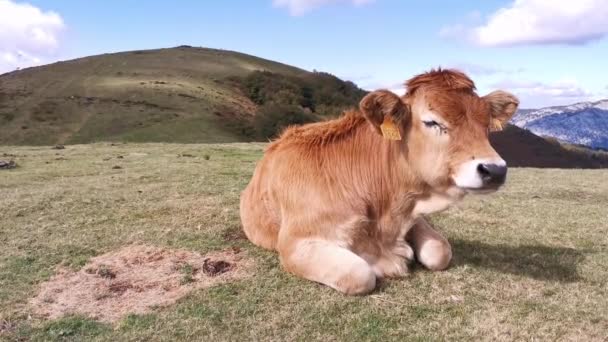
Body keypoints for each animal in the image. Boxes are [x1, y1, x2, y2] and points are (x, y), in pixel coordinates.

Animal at [238, 69, 516, 294]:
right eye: (431, 121)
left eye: (485, 124)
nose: (495, 170)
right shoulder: (294, 244)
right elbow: (360, 274)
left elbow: (440, 250)